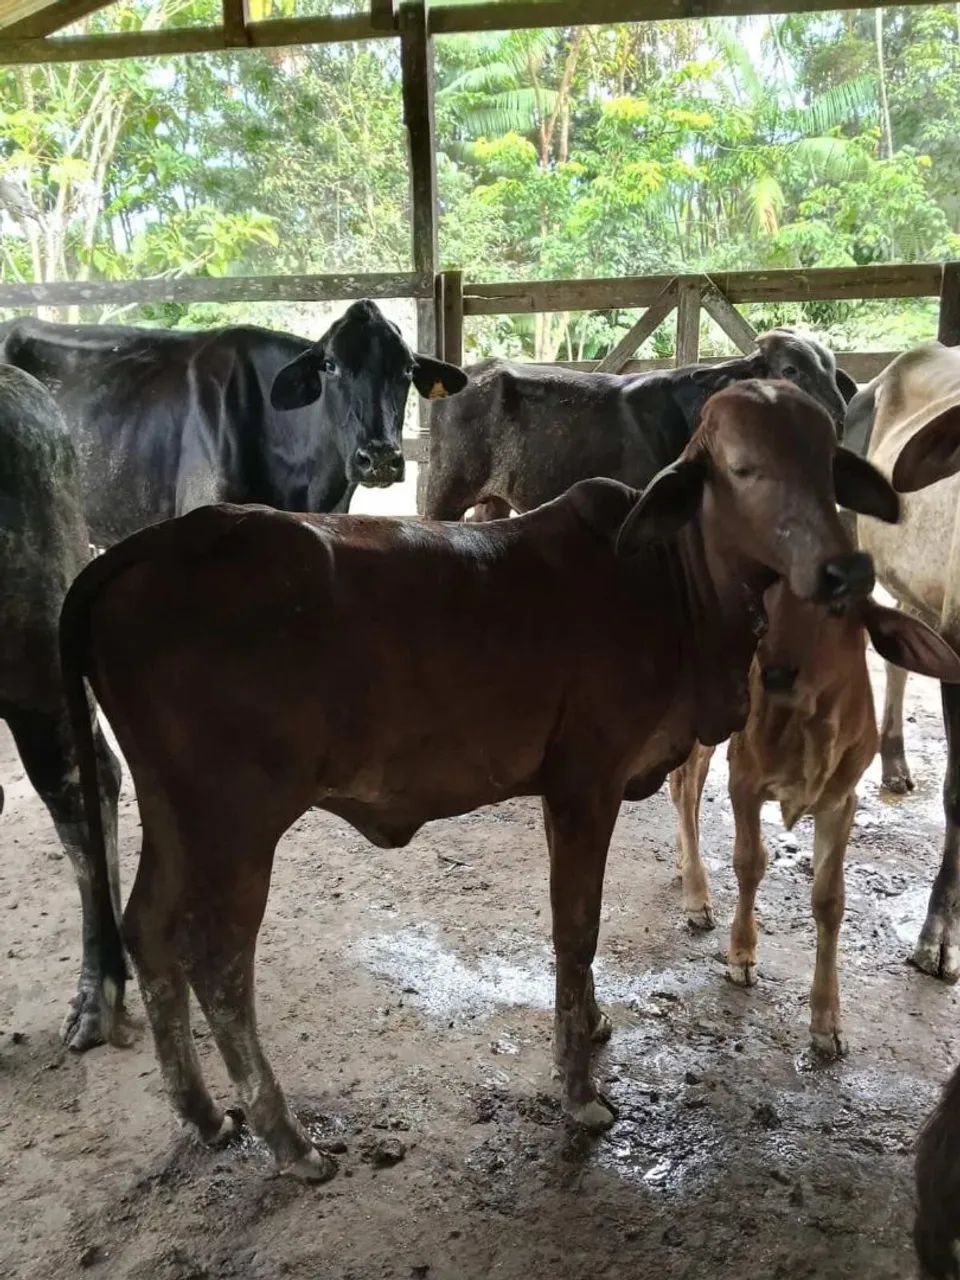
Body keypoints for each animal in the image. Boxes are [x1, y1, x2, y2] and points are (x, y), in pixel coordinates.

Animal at [59, 380, 897, 1181]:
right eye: (744, 468)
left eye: (828, 464)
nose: (846, 570)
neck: (673, 585)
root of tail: (139, 551)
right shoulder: (587, 782)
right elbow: (576, 929)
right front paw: (580, 1090)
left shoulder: (563, 792)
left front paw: (591, 1023)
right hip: (237, 820)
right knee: (218, 959)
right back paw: (289, 1140)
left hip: (175, 810)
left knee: (147, 928)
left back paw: (204, 1114)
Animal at [669, 580, 960, 1057]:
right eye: (766, 602)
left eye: (839, 606)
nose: (772, 674)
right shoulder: (744, 780)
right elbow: (750, 863)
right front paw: (742, 955)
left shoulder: (841, 801)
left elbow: (830, 900)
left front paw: (827, 1022)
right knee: (685, 782)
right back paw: (697, 895)